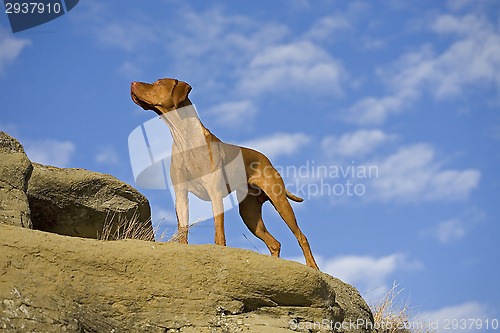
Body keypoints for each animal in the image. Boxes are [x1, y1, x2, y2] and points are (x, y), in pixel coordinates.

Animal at [131, 78, 318, 270]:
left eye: (159, 83)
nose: (133, 83)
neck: (185, 139)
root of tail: (267, 160)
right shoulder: (181, 195)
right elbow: (183, 229)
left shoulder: (215, 194)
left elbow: (219, 232)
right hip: (249, 214)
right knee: (275, 243)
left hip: (280, 202)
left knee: (302, 237)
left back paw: (313, 266)